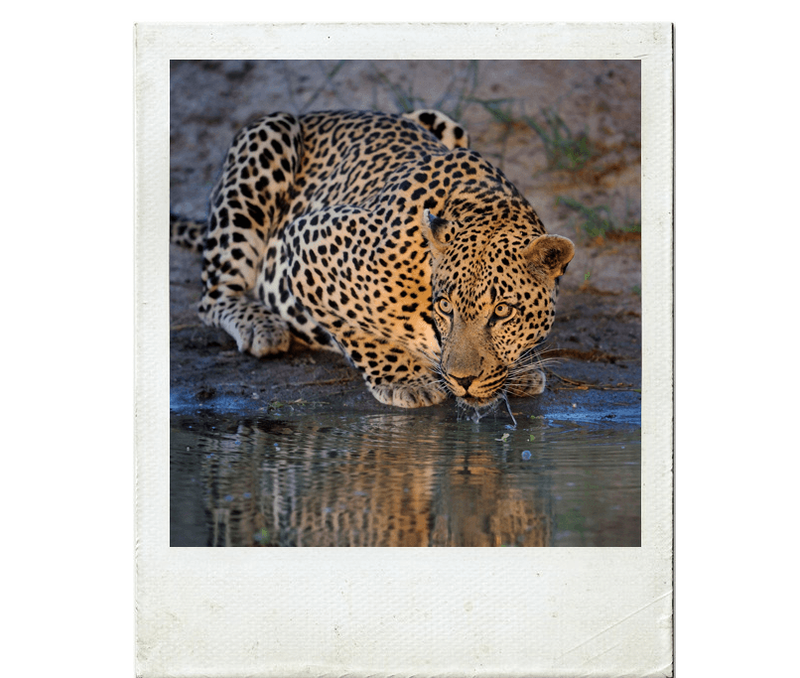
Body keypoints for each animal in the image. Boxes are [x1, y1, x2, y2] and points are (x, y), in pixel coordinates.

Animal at [170, 108, 575, 417]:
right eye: (446, 306)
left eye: (503, 311)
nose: (463, 380)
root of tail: (317, 114)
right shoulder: (304, 243)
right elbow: (355, 330)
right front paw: (405, 379)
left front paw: (522, 370)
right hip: (268, 137)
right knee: (213, 295)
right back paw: (262, 327)